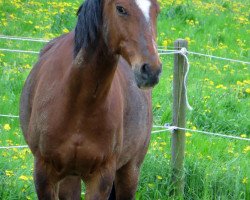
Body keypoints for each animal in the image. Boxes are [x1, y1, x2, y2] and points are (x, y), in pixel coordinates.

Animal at [20, 0, 162, 198]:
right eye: (121, 9)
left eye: (157, 11)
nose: (151, 70)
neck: (79, 104)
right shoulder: (44, 175)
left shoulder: (101, 177)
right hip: (69, 176)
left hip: (130, 170)